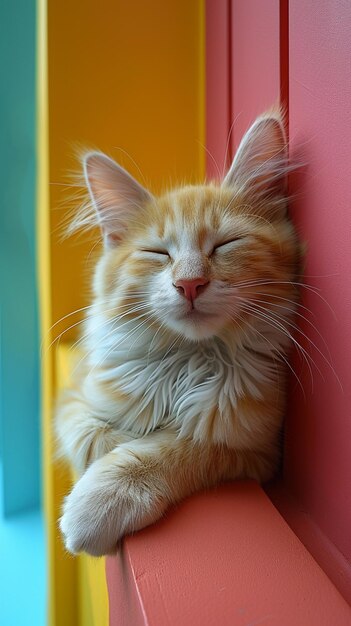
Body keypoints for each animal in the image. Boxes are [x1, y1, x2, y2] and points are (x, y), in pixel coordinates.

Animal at [56, 109, 304, 552]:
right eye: (157, 253)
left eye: (225, 244)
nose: (189, 284)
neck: (188, 360)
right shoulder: (72, 395)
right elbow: (93, 435)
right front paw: (114, 445)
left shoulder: (256, 450)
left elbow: (174, 449)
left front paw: (101, 498)